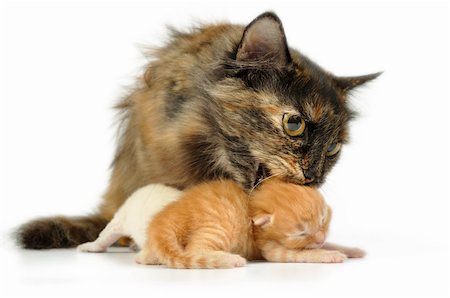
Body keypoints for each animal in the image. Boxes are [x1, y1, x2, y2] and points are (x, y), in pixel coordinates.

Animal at [135, 178, 364, 268]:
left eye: (323, 219)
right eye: (300, 233)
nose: (320, 238)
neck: (252, 203)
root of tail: (166, 217)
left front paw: (351, 250)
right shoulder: (270, 249)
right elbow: (302, 254)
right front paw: (330, 255)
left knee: (145, 257)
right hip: (220, 226)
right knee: (196, 250)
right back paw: (231, 259)